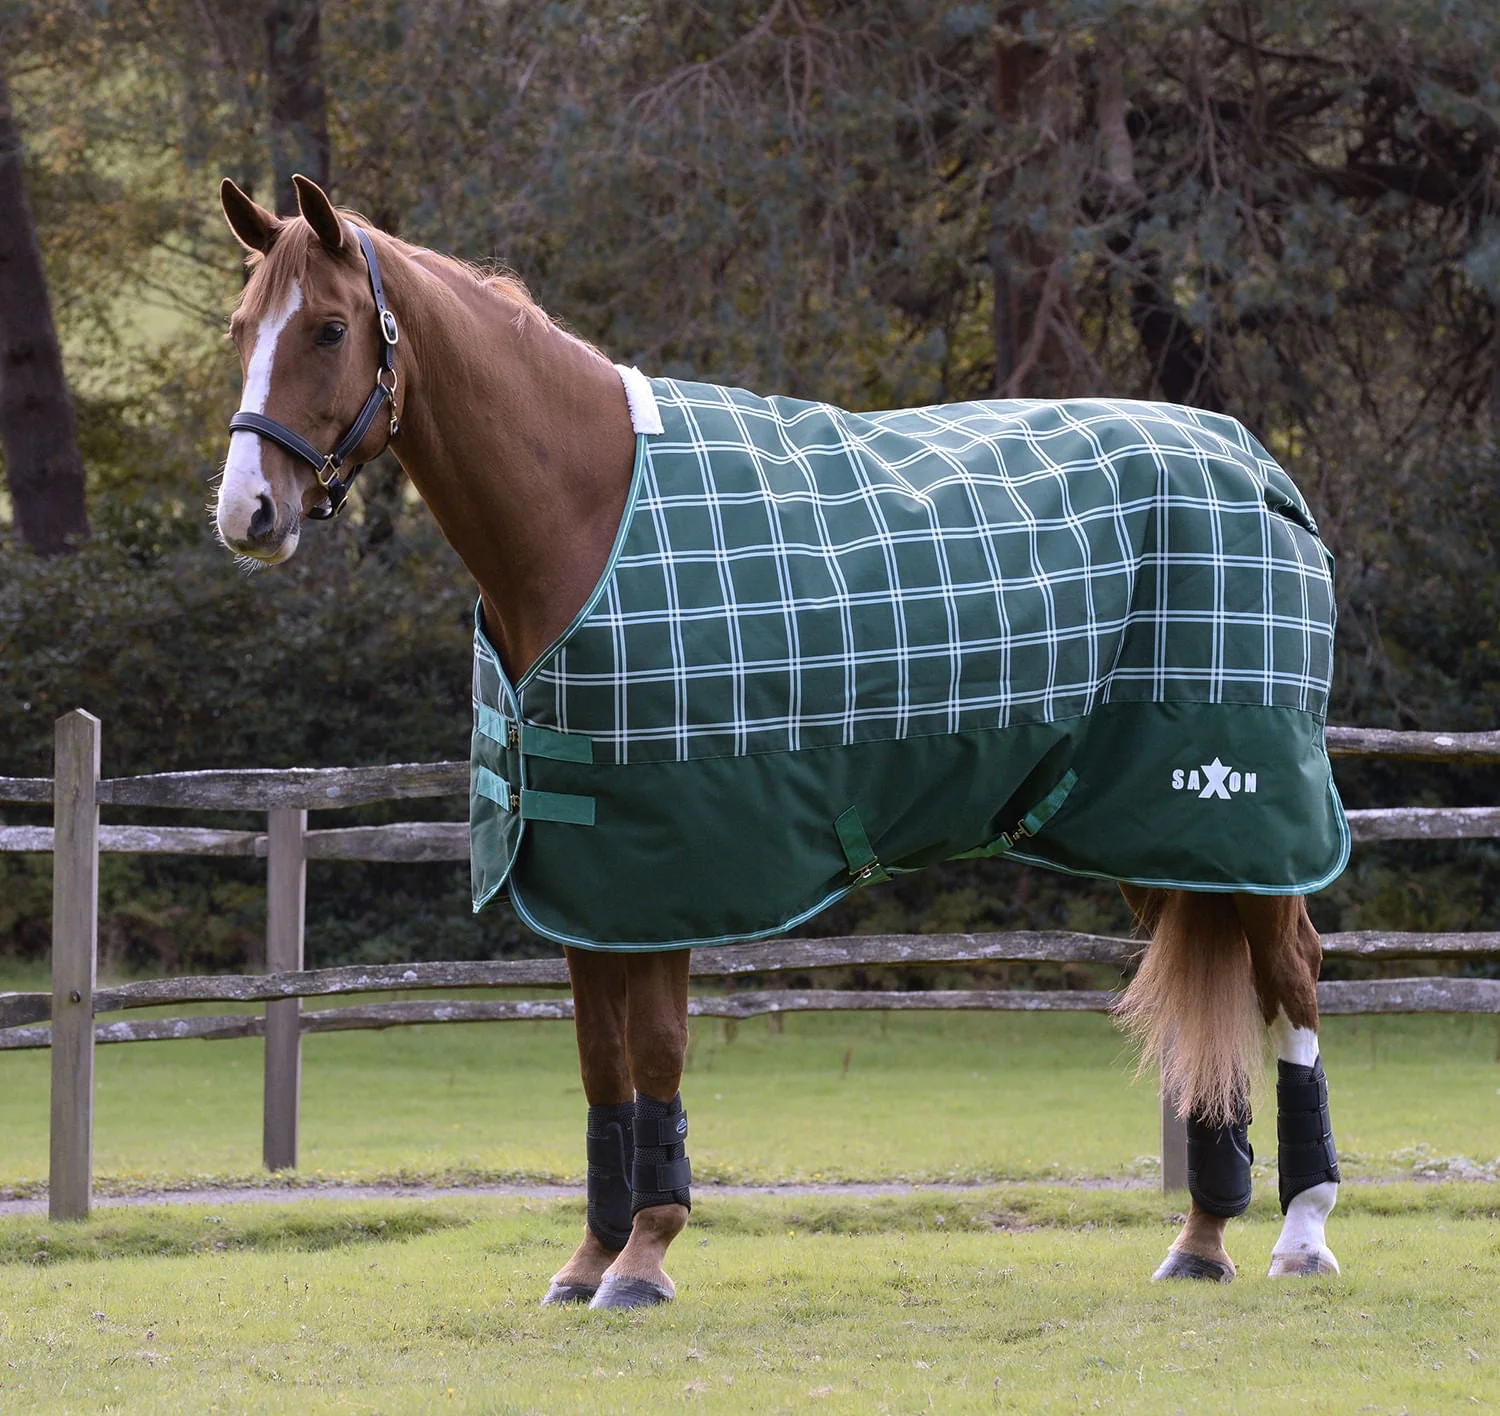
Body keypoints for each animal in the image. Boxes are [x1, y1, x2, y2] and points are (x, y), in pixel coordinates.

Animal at [213, 174, 1345, 1307]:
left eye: (328, 328)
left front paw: (646, 1255)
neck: (583, 512)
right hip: (1150, 831)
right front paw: (589, 1257)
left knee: (1291, 972)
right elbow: (600, 1065)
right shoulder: (586, 879)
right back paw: (1202, 1238)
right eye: (239, 329)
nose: (246, 514)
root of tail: (1254, 465)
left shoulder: (659, 874)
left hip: (1241, 814)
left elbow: (657, 1051)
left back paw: (1302, 1229)